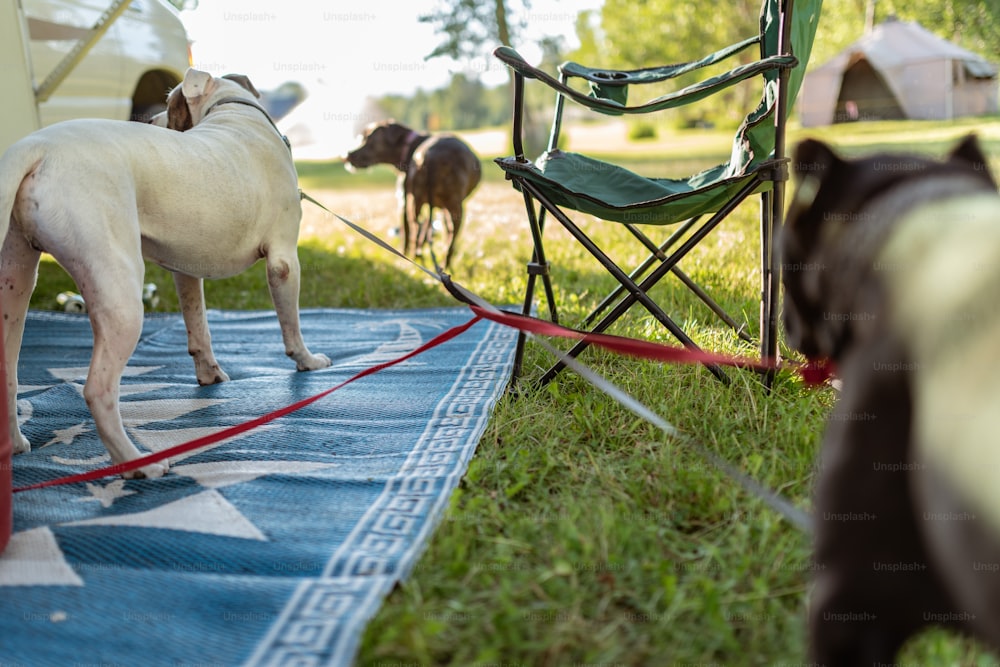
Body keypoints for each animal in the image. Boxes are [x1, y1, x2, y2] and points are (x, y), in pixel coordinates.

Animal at [0, 69, 332, 480]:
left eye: (171, 106)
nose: (150, 121)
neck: (234, 113)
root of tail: (37, 148)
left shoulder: (185, 270)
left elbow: (198, 324)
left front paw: (210, 374)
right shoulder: (283, 261)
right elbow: (291, 323)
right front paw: (307, 361)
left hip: (15, 282)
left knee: (8, 372)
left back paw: (15, 445)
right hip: (121, 295)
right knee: (97, 389)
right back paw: (138, 463)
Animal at [344, 120, 480, 268]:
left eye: (368, 139)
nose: (347, 155)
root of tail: (432, 154)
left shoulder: (404, 201)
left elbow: (408, 232)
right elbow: (419, 231)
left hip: (421, 203)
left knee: (418, 230)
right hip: (445, 206)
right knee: (440, 236)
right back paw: (432, 261)